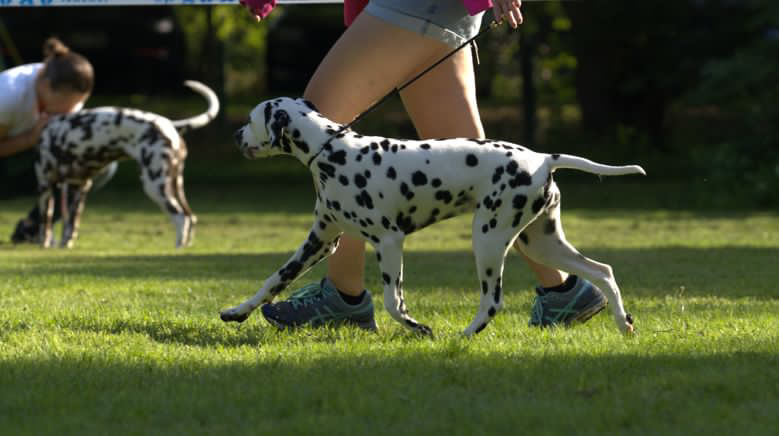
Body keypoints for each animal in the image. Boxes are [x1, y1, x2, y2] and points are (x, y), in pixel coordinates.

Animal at [34, 80, 219, 249]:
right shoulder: (78, 188)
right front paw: (65, 245)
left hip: (154, 185)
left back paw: (178, 247)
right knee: (191, 217)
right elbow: (70, 226)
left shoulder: (45, 186)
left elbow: (45, 225)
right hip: (175, 184)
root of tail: (168, 124)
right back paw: (186, 247)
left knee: (181, 217)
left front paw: (45, 246)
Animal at [220, 97, 643, 336]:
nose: (236, 135)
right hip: (542, 242)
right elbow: (272, 281)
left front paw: (417, 327)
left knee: (493, 301)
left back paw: (465, 334)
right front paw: (237, 311)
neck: (333, 152)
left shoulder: (389, 242)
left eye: (251, 119)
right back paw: (624, 324)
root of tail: (542, 158)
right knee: (602, 271)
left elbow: (393, 301)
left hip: (489, 240)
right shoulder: (320, 241)